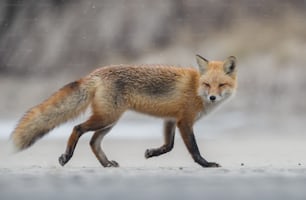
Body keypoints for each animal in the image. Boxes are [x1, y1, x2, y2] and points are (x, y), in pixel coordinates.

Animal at [10, 54, 238, 167]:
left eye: (221, 85)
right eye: (207, 85)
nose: (212, 97)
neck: (195, 88)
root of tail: (96, 73)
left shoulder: (171, 120)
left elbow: (169, 146)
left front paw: (152, 153)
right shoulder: (184, 121)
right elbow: (194, 149)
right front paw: (205, 164)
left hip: (110, 121)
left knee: (93, 142)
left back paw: (106, 164)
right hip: (106, 117)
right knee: (77, 128)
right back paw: (67, 156)